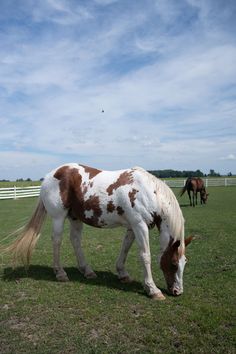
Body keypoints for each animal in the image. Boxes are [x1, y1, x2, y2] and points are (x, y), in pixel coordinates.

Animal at [3, 165, 192, 300]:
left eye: (184, 262)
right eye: (173, 264)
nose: (178, 291)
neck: (148, 191)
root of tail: (51, 174)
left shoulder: (132, 226)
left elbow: (125, 249)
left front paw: (122, 274)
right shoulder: (140, 225)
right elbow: (145, 256)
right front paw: (152, 289)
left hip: (75, 217)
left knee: (75, 240)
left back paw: (87, 271)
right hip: (58, 218)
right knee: (57, 241)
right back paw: (60, 273)